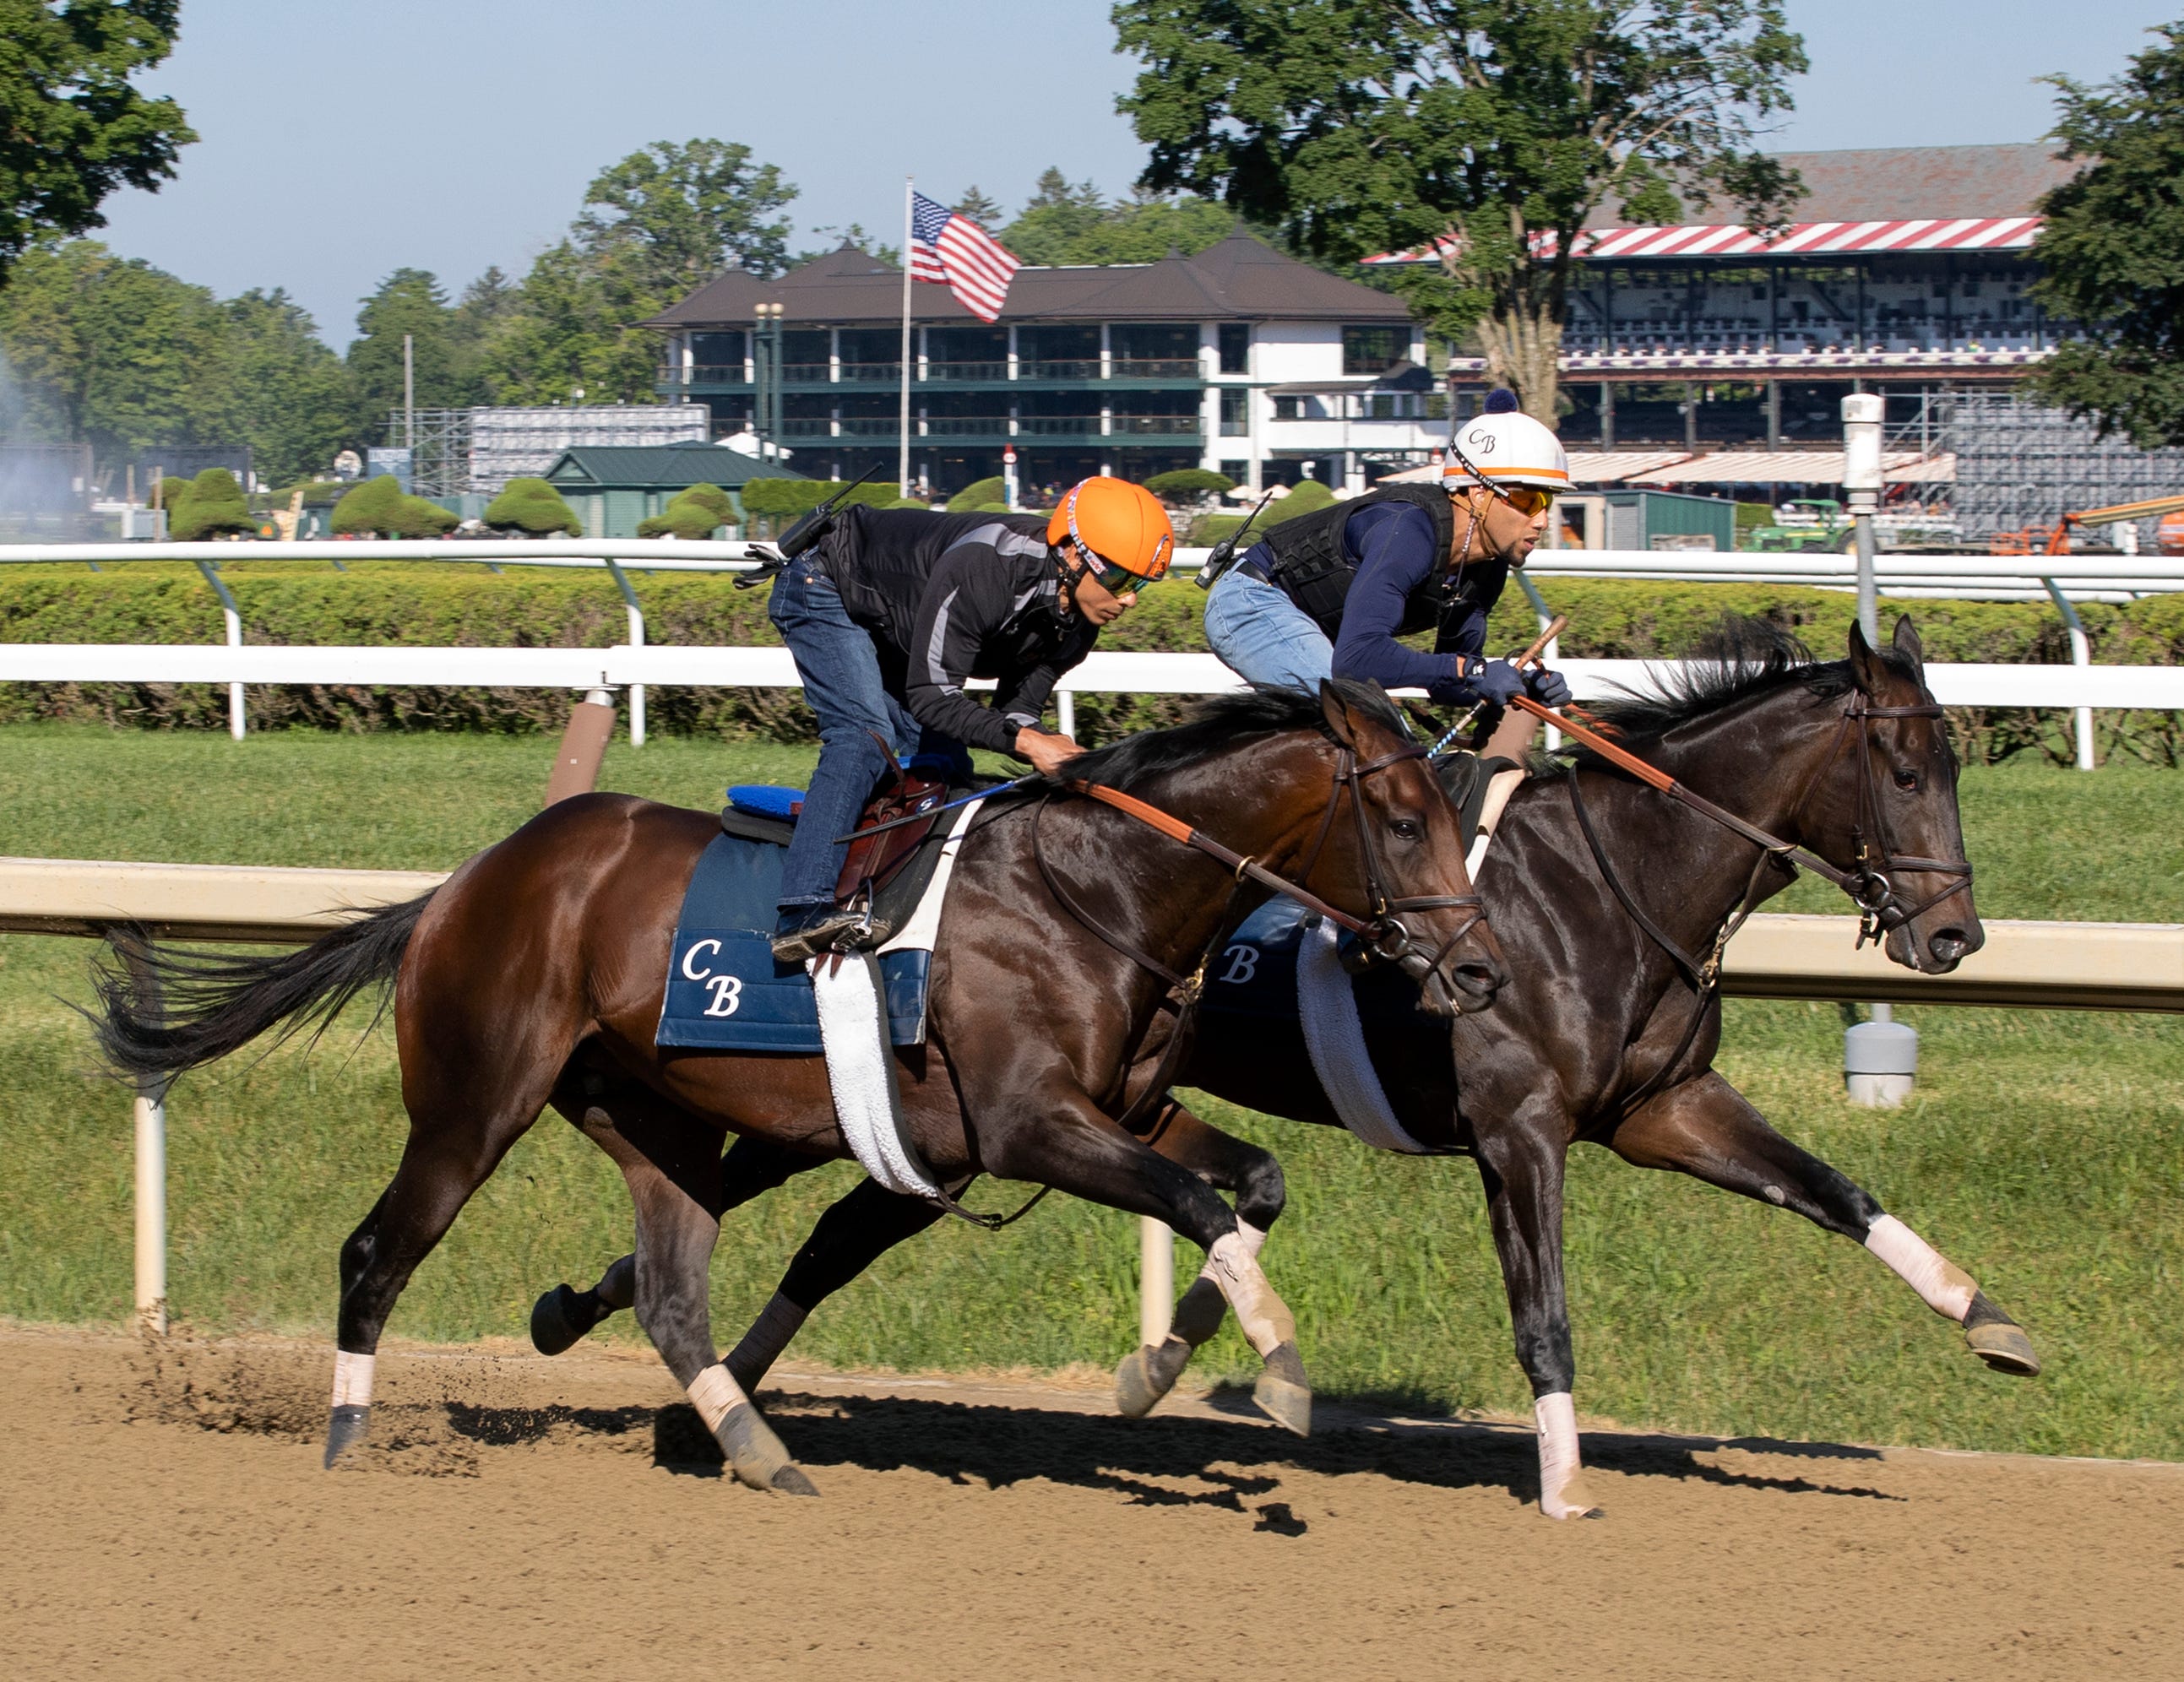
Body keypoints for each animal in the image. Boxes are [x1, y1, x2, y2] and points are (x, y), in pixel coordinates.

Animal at [98, 681, 1502, 1494]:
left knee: (673, 1291)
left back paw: (754, 1448)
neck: (1095, 893)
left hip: (651, 1113)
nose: (1478, 969)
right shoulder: (1030, 1127)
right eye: (1402, 821)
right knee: (378, 1249)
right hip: (471, 1102)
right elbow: (1203, 1210)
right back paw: (346, 1444)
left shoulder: (1117, 1114)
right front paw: (1272, 1369)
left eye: (1456, 815)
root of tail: (461, 884)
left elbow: (1249, 1185)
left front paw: (1164, 1362)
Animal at [537, 620, 2035, 1520]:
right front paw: (1561, 1483)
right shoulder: (1522, 1130)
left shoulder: (1663, 1107)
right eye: (1907, 767)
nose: (1951, 936)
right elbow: (1543, 1312)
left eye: (1960, 765)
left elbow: (1837, 1194)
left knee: (828, 1221)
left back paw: (680, 1369)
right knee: (764, 1192)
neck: (1609, 883)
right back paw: (620, 1339)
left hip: (975, 1122)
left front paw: (1987, 1319)